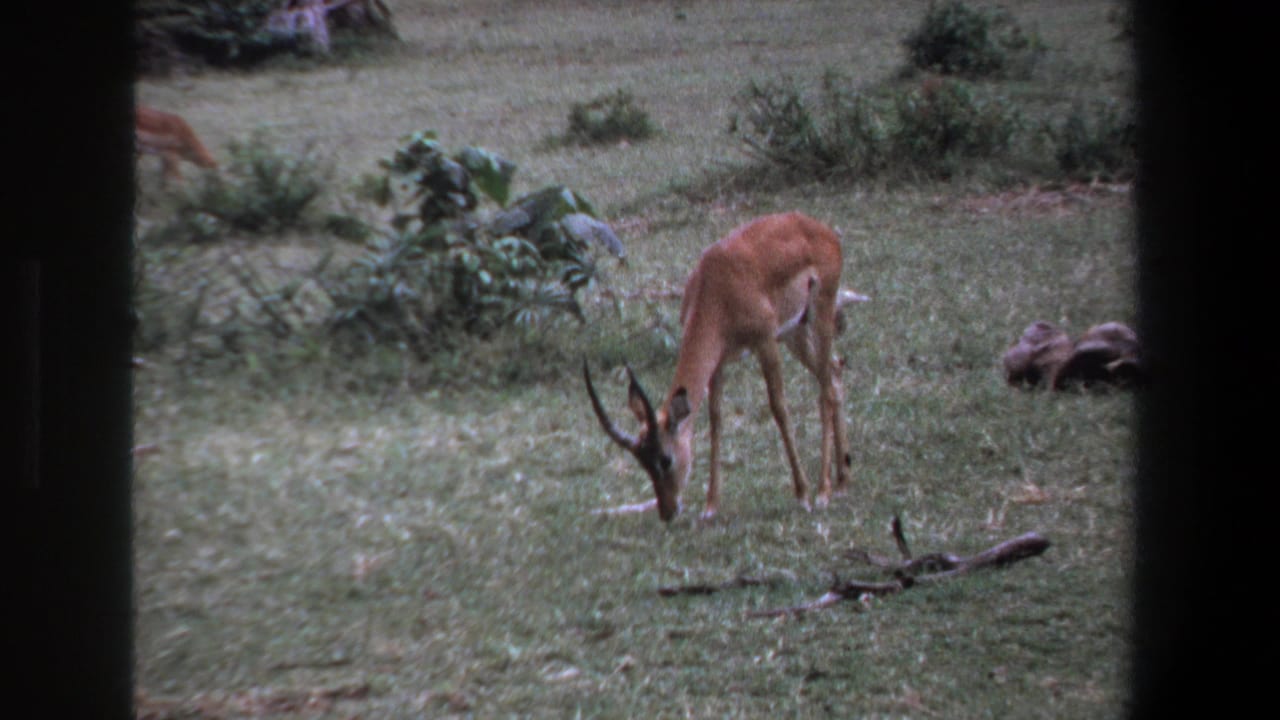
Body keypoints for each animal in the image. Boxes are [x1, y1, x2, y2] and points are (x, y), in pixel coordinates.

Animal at [583, 212, 867, 522]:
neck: (716, 288)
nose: (668, 511)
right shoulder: (718, 363)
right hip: (795, 331)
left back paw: (824, 491)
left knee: (825, 388)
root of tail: (820, 227)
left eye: (665, 459)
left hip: (819, 316)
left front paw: (802, 494)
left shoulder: (765, 342)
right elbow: (716, 420)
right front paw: (711, 506)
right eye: (642, 461)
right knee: (835, 373)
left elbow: (779, 409)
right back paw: (842, 481)